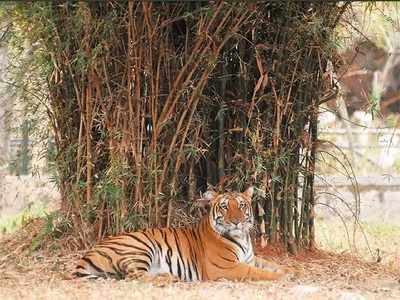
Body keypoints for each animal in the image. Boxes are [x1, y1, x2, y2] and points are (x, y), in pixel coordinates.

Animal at [73, 186, 286, 282]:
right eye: (225, 206)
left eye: (241, 205)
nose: (237, 221)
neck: (242, 238)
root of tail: (88, 253)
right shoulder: (225, 268)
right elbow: (257, 272)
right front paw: (281, 278)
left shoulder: (251, 259)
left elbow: (273, 265)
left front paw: (289, 271)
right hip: (140, 248)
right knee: (135, 277)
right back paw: (170, 278)